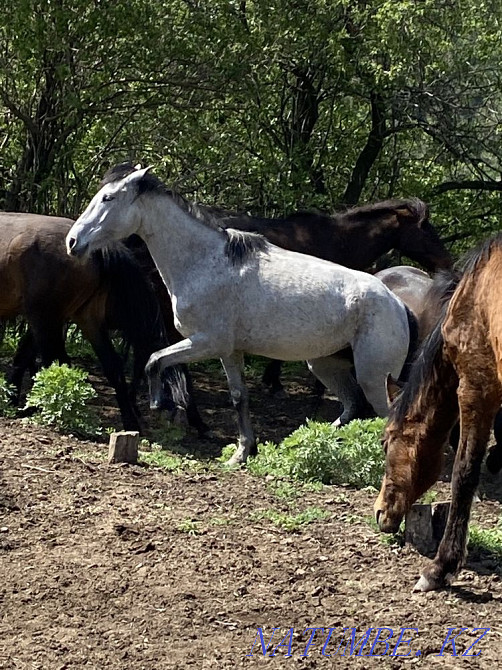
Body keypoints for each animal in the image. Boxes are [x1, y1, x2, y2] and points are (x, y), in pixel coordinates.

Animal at [66, 162, 418, 465]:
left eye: (108, 197)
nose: (72, 241)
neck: (204, 262)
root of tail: (398, 306)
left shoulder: (206, 342)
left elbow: (154, 360)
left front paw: (160, 404)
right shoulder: (229, 352)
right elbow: (238, 397)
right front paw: (242, 452)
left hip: (373, 376)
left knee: (383, 416)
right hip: (324, 364)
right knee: (352, 406)